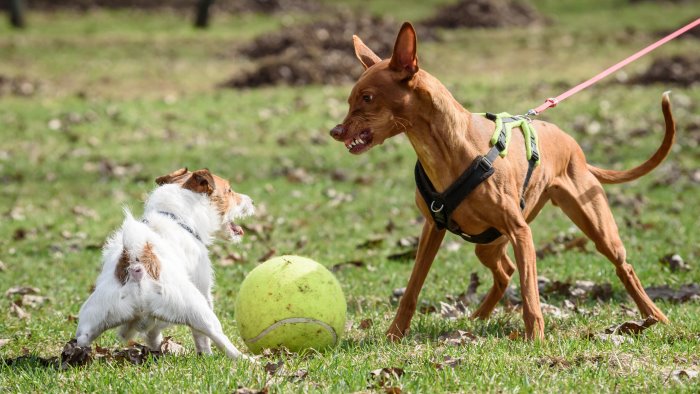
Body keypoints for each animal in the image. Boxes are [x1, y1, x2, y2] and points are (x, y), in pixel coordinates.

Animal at [76, 167, 254, 360]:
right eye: (229, 190)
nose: (252, 201)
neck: (177, 218)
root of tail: (138, 267)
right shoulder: (203, 287)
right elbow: (201, 338)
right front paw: (206, 355)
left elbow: (153, 333)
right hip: (198, 310)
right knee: (219, 338)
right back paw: (246, 359)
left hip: (94, 317)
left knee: (82, 339)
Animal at [330, 23, 676, 340]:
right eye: (350, 100)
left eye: (367, 97)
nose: (335, 131)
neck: (447, 149)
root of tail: (574, 146)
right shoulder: (432, 228)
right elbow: (412, 289)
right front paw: (394, 334)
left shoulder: (521, 232)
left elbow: (530, 294)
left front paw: (535, 339)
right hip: (488, 244)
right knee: (505, 272)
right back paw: (478, 317)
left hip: (595, 227)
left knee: (623, 267)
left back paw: (655, 316)